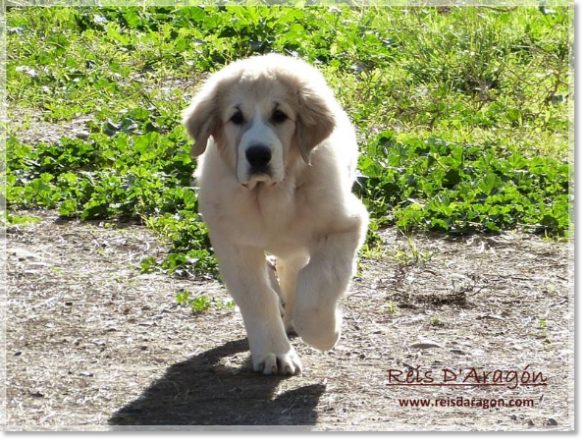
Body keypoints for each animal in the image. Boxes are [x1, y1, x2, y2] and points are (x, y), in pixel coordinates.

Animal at [182, 52, 368, 376]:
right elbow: (258, 297)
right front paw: (274, 352)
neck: (269, 195)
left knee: (295, 270)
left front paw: (324, 333)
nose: (258, 155)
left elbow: (316, 283)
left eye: (279, 116)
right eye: (236, 117)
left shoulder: (344, 227)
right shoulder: (234, 243)